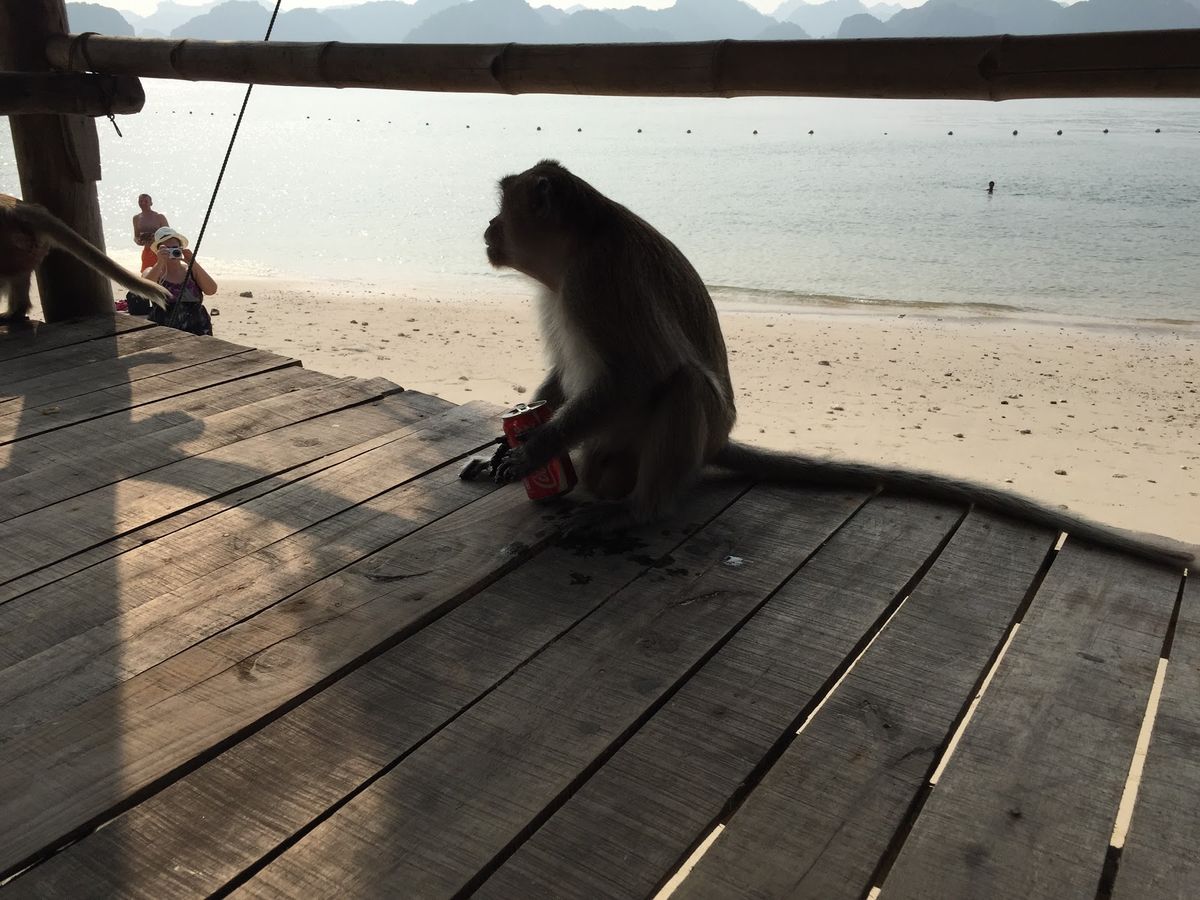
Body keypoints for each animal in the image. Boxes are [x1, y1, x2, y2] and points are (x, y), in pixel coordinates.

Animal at [483, 160, 1194, 566]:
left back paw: (636, 509)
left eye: (502, 208)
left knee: (685, 388)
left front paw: (534, 446)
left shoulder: (598, 284)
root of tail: (720, 439)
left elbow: (638, 374)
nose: (487, 229)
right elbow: (562, 379)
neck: (572, 254)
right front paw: (514, 434)